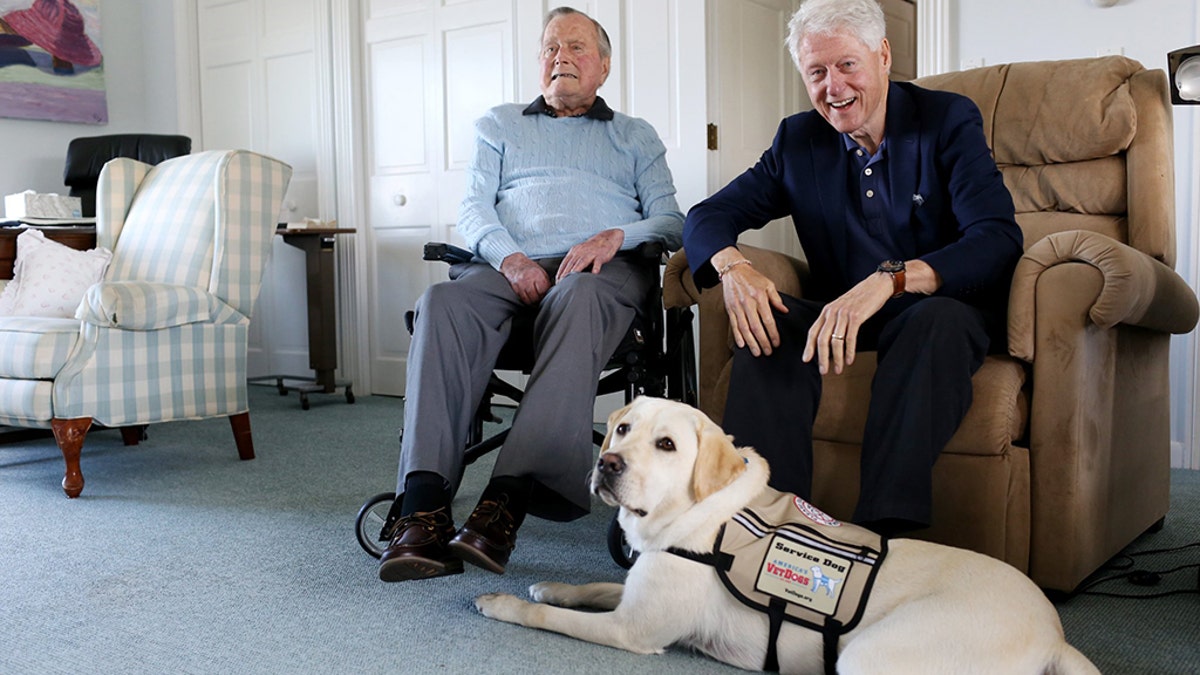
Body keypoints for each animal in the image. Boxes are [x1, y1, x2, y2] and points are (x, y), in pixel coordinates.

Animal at [472, 396, 1099, 667]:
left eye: (667, 445)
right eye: (623, 429)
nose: (608, 463)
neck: (698, 518)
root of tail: (1056, 635)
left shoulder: (633, 630)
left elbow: (550, 618)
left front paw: (502, 602)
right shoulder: (641, 589)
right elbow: (596, 587)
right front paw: (554, 587)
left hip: (872, 653)